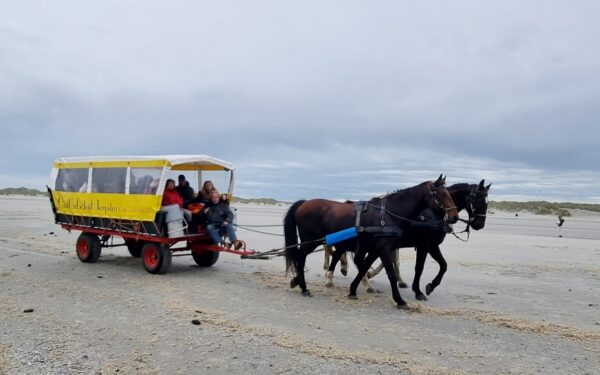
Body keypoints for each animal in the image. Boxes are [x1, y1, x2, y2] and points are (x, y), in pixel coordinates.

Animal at [284, 175, 458, 310]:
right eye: (441, 194)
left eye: (449, 193)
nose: (454, 216)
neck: (389, 214)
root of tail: (304, 203)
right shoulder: (386, 248)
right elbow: (391, 273)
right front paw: (400, 300)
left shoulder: (375, 249)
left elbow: (364, 268)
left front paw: (353, 290)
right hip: (310, 242)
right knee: (300, 257)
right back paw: (304, 287)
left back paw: (299, 281)